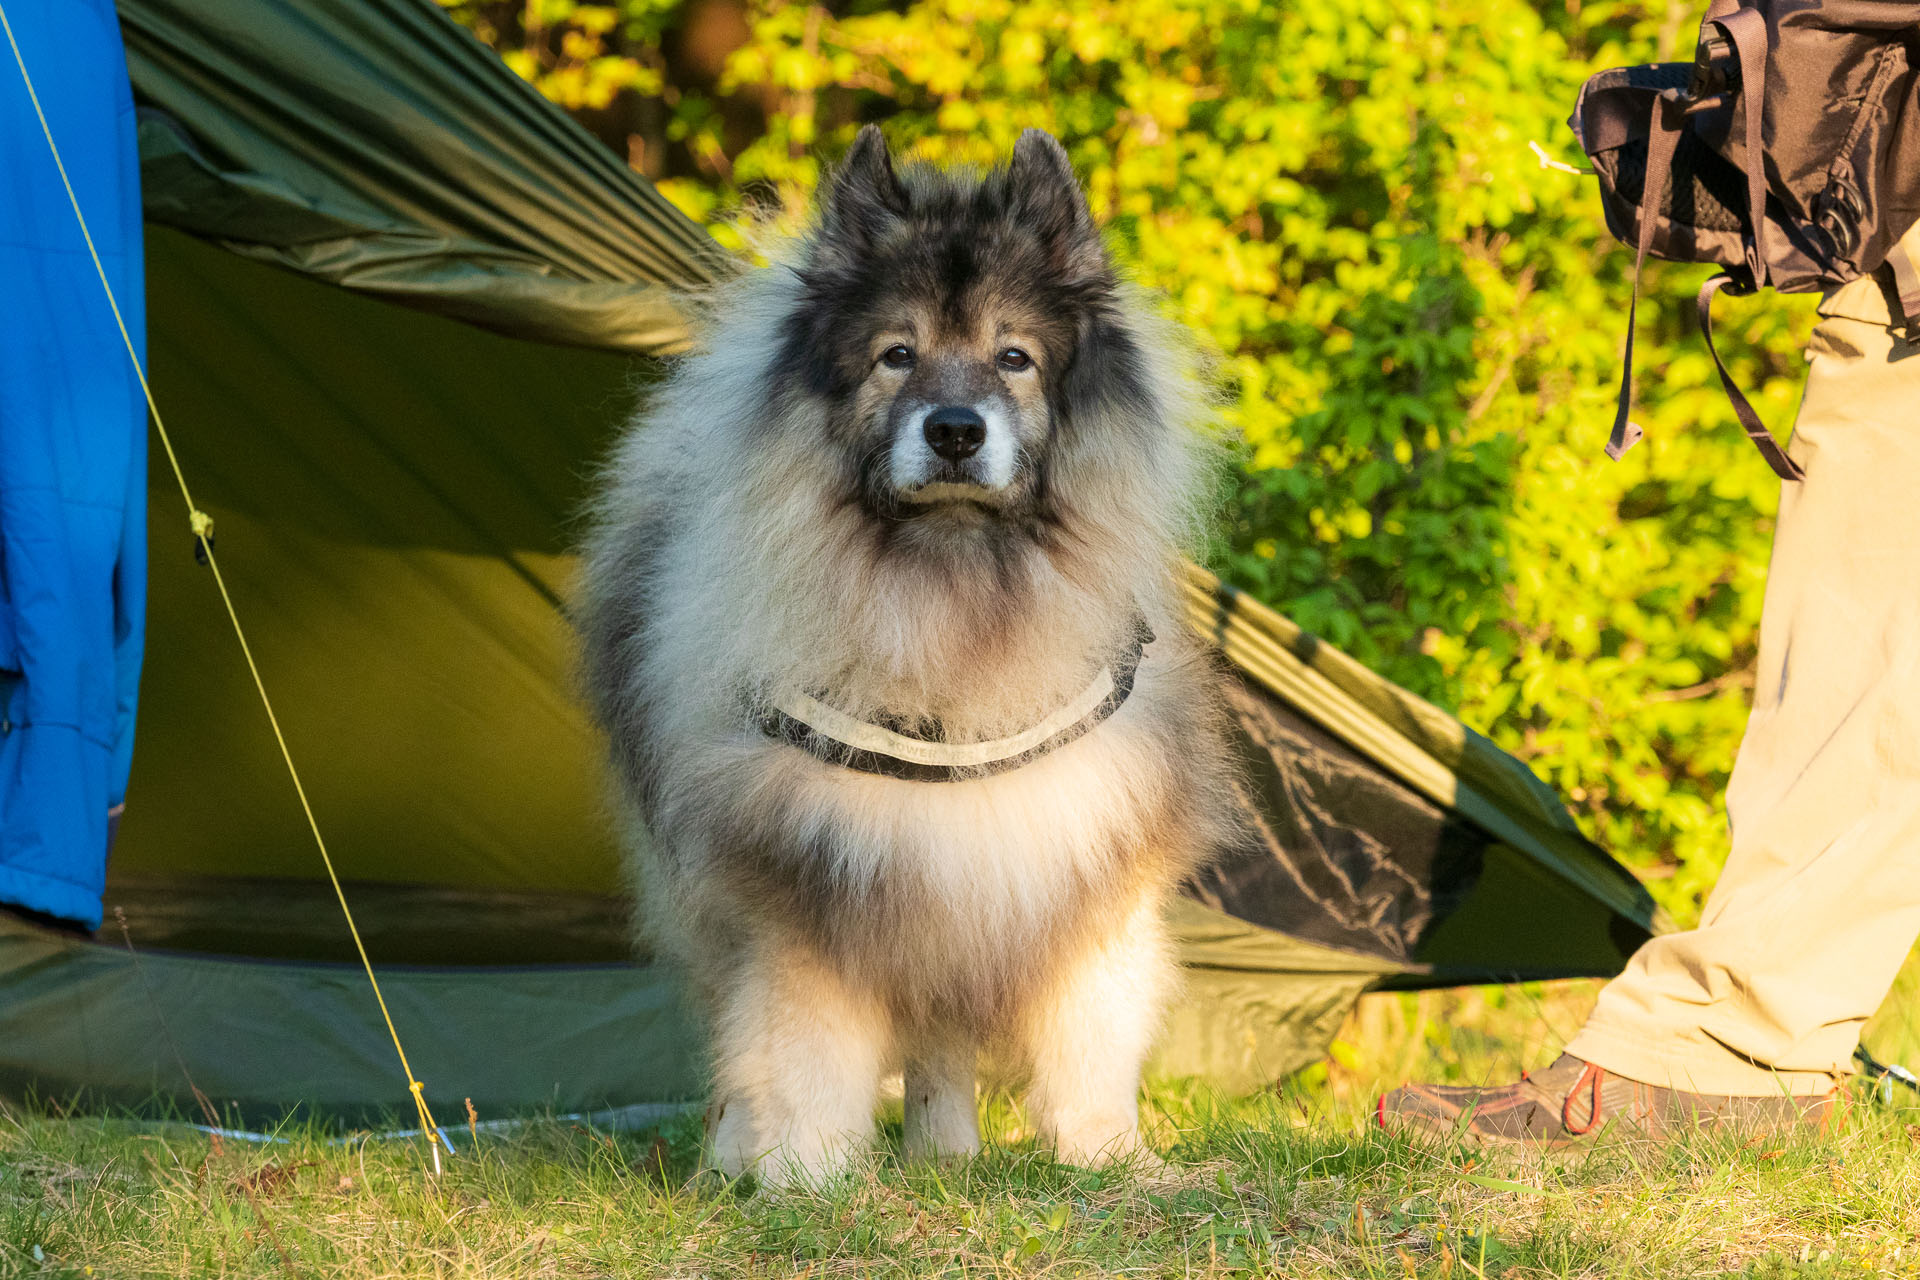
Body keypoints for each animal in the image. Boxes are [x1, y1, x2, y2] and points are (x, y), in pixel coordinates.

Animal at [579, 124, 1228, 1189]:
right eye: (897, 355)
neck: (953, 590)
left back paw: (947, 1153)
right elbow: (805, 1052)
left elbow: (1092, 1038)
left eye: (1014, 357)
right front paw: (804, 1179)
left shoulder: (1074, 851)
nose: (955, 430)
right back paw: (732, 1158)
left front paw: (1108, 1161)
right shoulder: (810, 882)